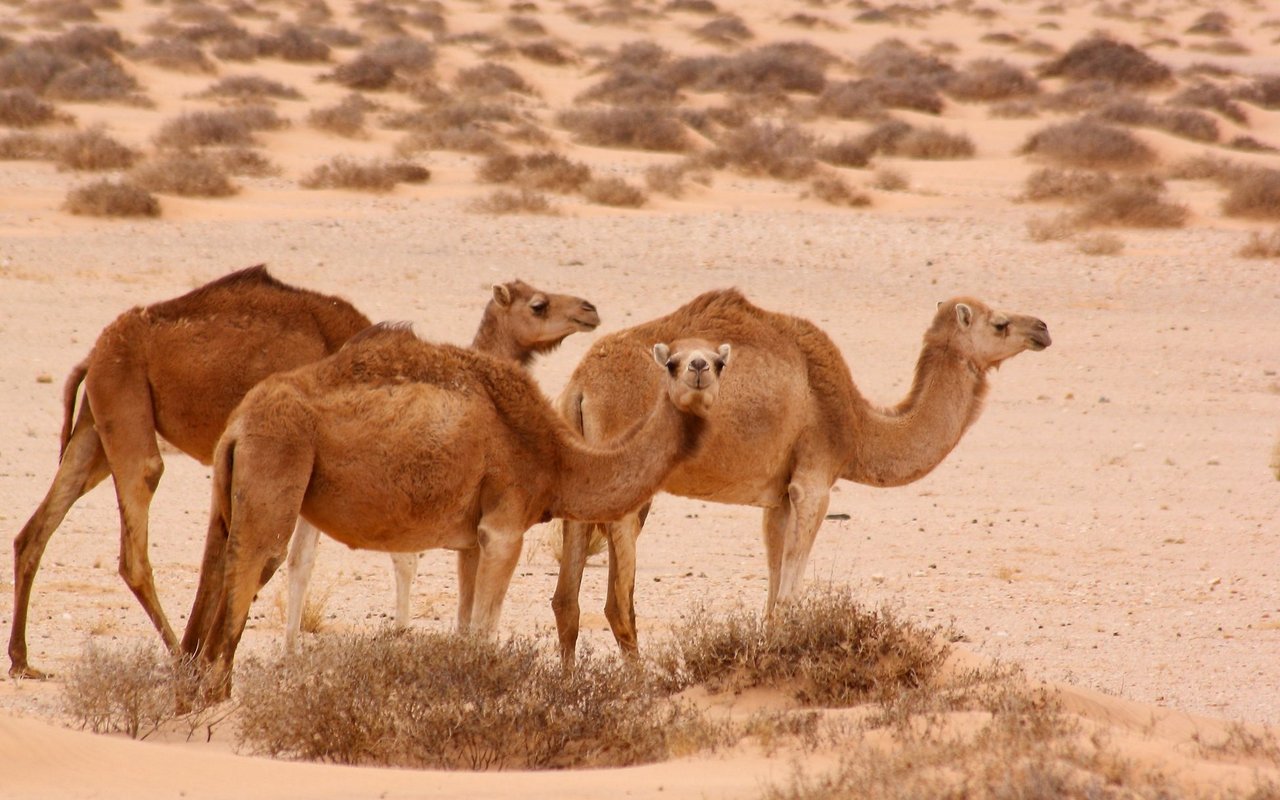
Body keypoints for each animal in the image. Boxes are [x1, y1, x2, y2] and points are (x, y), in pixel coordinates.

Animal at [177, 325, 732, 691]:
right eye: (671, 361)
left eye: (719, 360)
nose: (699, 369)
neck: (556, 457)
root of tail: (239, 422)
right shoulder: (505, 527)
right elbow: (486, 633)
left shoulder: (472, 540)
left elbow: (466, 630)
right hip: (277, 465)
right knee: (241, 595)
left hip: (232, 493)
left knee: (211, 585)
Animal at [550, 290, 1049, 665]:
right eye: (1000, 323)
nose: (1042, 328)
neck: (857, 425)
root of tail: (580, 384)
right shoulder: (814, 481)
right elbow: (790, 595)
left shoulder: (777, 498)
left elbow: (774, 595)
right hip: (626, 481)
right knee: (618, 604)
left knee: (566, 602)